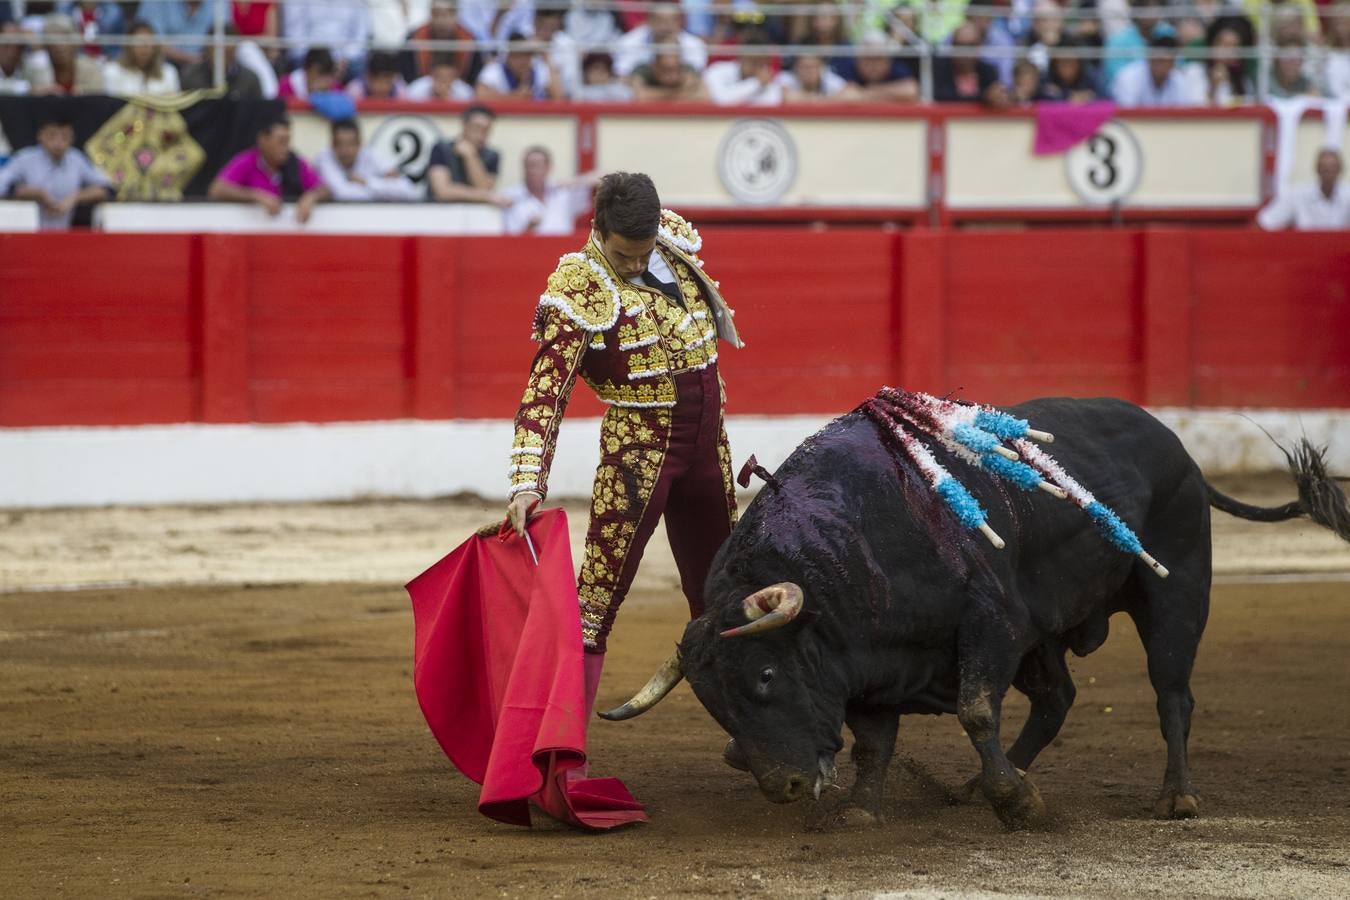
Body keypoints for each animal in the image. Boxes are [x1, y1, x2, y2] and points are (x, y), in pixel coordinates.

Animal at [602, 396, 1350, 836]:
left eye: (763, 674)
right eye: (714, 705)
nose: (781, 787)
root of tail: (1181, 451)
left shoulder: (991, 627)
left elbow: (975, 712)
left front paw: (1018, 805)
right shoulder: (868, 666)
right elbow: (876, 742)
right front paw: (864, 809)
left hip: (1177, 592)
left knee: (1173, 694)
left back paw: (1176, 799)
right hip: (1049, 639)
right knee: (1057, 699)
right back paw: (982, 785)